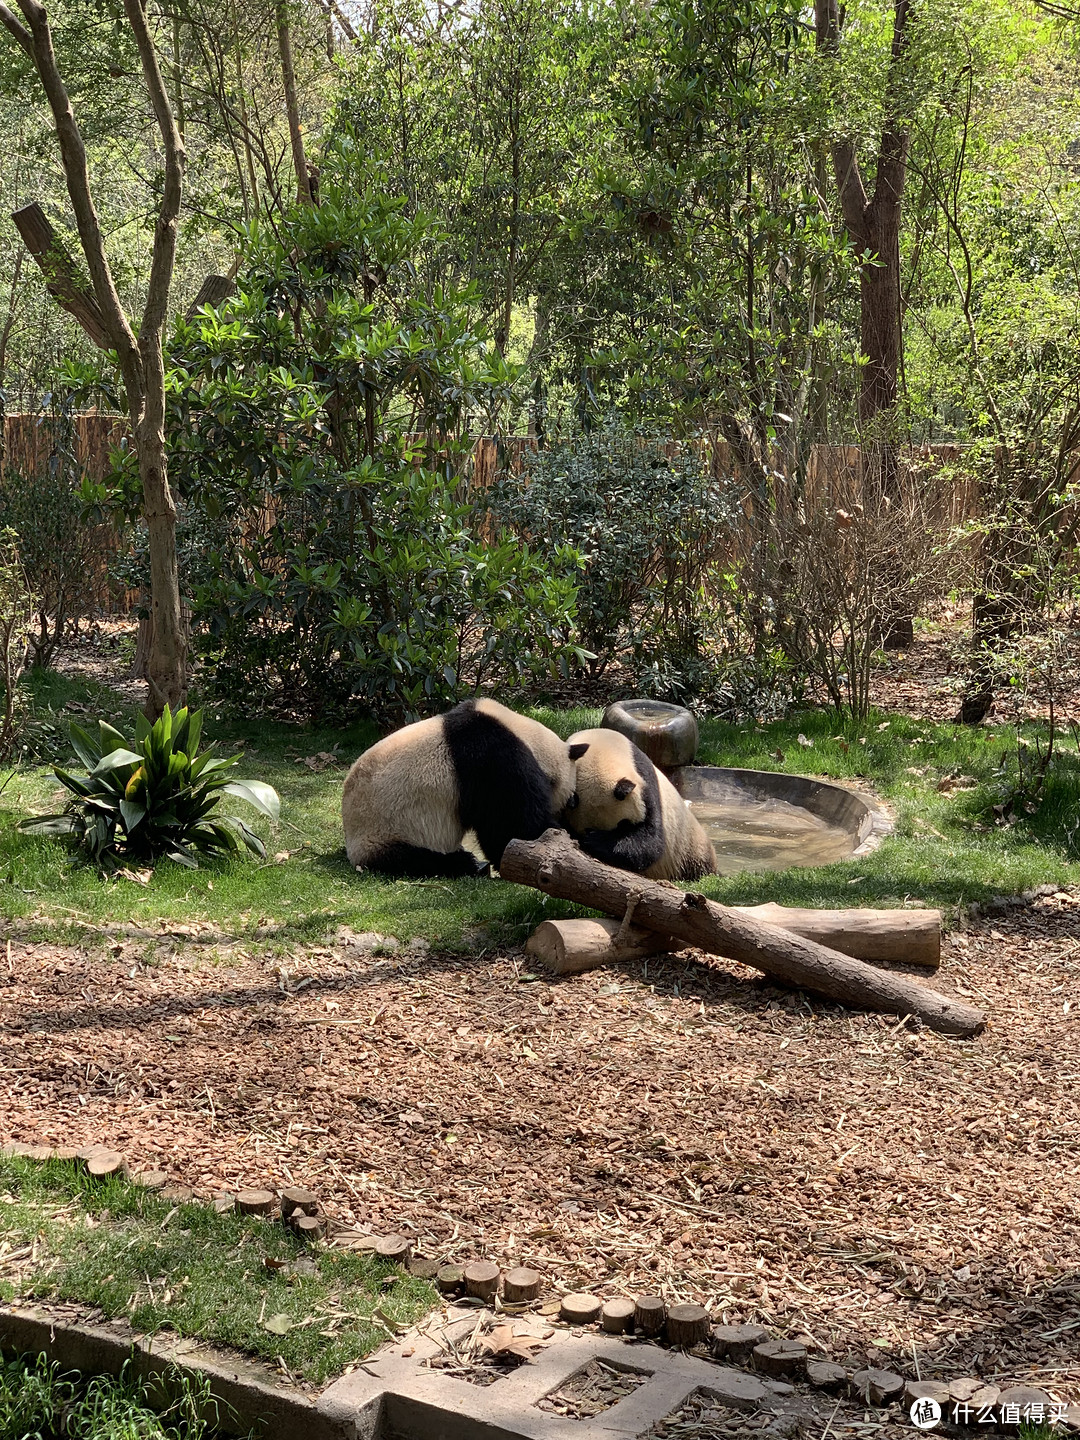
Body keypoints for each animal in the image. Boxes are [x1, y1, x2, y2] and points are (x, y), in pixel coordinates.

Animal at [344, 696, 578, 875]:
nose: (574, 802)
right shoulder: (494, 759)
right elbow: (514, 825)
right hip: (386, 832)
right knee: (418, 859)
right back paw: (471, 864)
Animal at [567, 725, 720, 881]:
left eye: (623, 824)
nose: (592, 834)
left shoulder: (646, 779)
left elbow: (651, 839)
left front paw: (595, 840)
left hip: (688, 847)